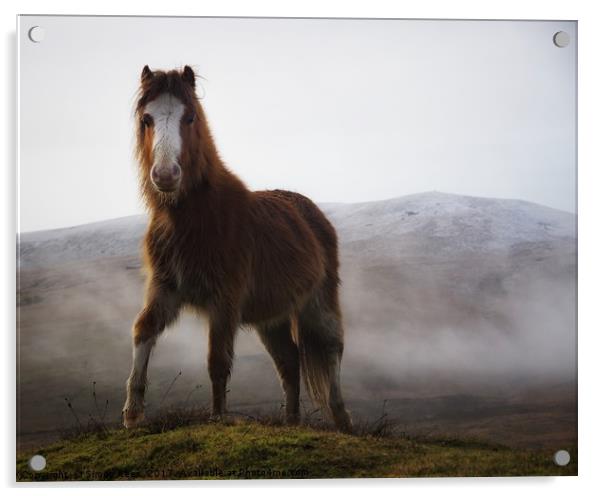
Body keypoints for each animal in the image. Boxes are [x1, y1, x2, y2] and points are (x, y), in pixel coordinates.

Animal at [122, 65, 352, 430]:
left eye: (189, 117)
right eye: (147, 119)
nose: (166, 175)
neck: (195, 217)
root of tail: (312, 212)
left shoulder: (225, 300)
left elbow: (217, 360)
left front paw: (218, 417)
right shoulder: (165, 288)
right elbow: (143, 330)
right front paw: (132, 414)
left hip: (318, 301)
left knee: (332, 347)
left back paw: (342, 419)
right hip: (269, 318)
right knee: (289, 362)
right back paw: (291, 422)